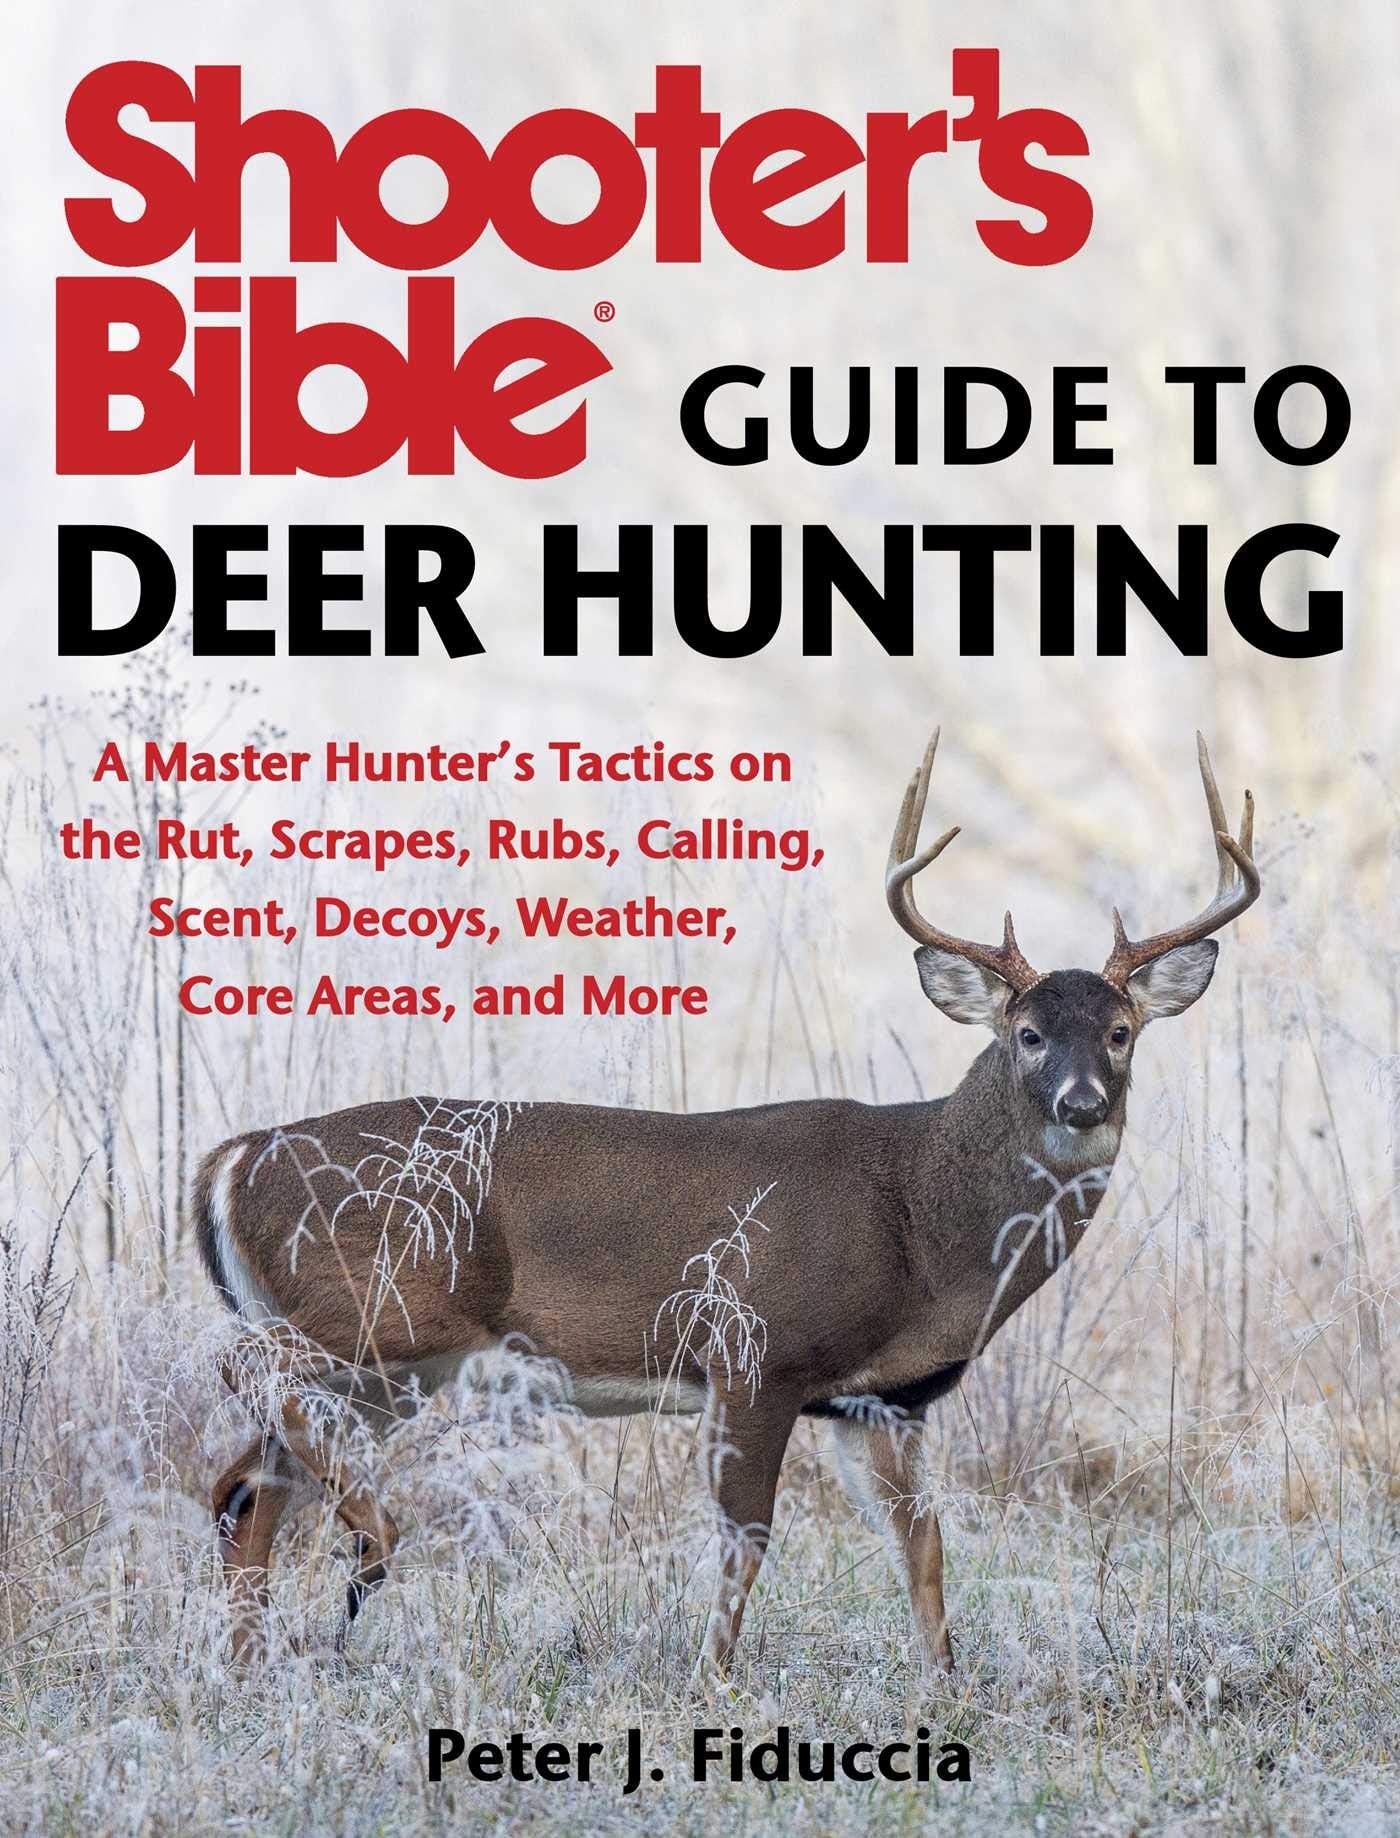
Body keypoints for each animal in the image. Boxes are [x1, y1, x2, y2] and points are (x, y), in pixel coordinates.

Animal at [196, 730, 1259, 1676]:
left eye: (1121, 1032)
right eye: (1028, 1033)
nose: (1081, 1102)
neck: (919, 1223)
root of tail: (235, 1157)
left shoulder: (882, 1399)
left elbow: (923, 1549)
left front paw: (946, 1689)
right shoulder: (754, 1351)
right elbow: (748, 1539)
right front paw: (712, 1680)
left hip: (392, 1369)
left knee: (247, 1489)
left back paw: (256, 1661)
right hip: (382, 1309)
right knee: (243, 1379)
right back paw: (370, 1544)